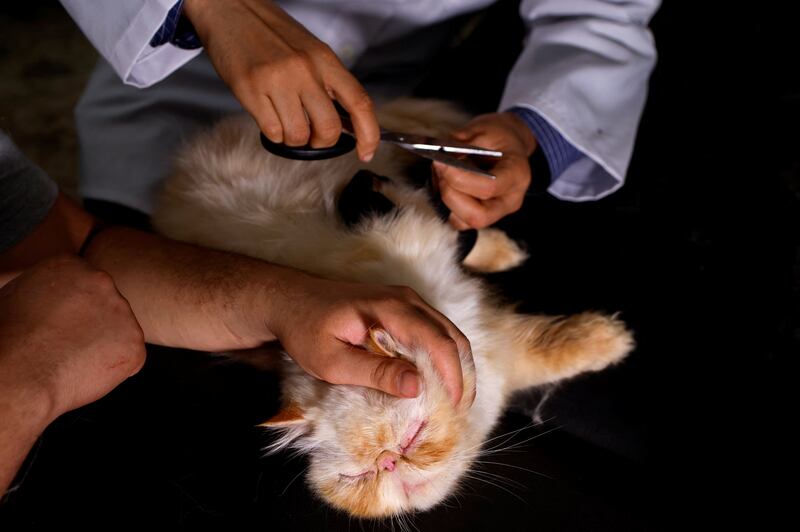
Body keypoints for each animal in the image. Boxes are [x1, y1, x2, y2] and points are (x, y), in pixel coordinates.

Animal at [153, 100, 636, 520]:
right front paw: (612, 340)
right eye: (358, 476)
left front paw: (613, 340)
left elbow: (553, 344)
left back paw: (500, 243)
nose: (390, 462)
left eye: (412, 438)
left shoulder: (492, 333)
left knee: (431, 193)